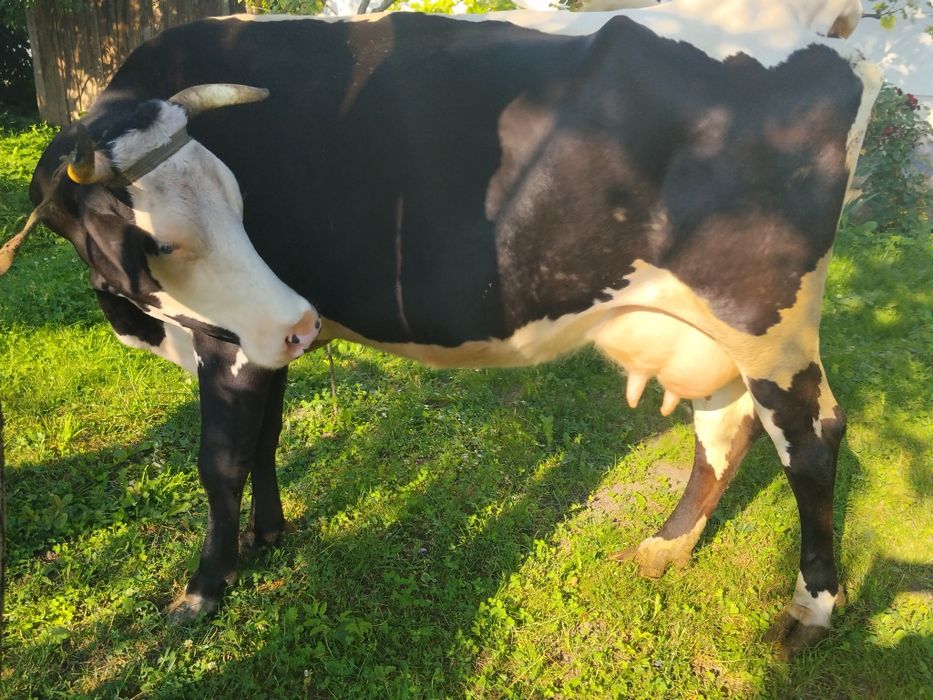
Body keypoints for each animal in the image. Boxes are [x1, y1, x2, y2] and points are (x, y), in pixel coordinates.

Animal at [2, 3, 880, 658]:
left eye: (235, 202)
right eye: (162, 240)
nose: (297, 317)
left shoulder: (227, 340)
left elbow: (220, 463)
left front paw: (201, 589)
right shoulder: (263, 335)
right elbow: (265, 439)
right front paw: (270, 533)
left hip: (763, 316)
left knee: (810, 442)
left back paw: (808, 612)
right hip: (712, 329)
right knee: (726, 426)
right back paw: (666, 547)